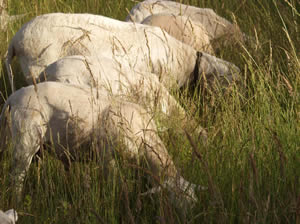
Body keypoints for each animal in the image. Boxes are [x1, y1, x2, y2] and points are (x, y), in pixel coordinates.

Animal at [1, 81, 199, 207]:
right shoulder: (107, 157)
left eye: (193, 202)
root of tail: (11, 99)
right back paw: (17, 204)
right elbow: (115, 185)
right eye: (175, 200)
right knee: (17, 178)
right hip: (25, 142)